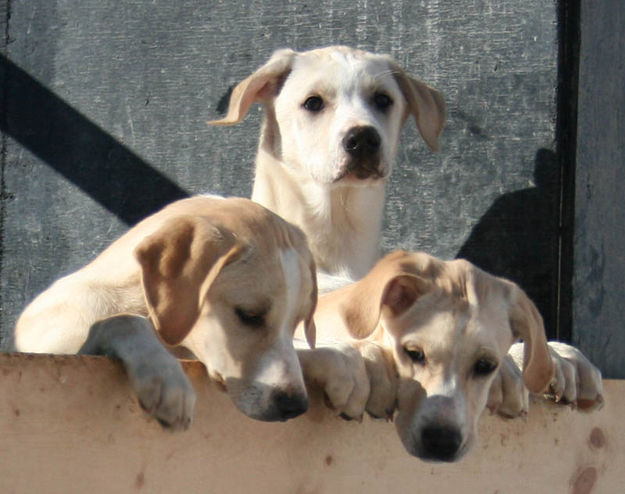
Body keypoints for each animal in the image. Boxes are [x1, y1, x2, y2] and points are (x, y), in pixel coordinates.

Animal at [13, 197, 316, 428]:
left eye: (296, 323)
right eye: (249, 315)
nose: (296, 407)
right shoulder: (60, 348)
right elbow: (124, 321)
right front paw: (166, 377)